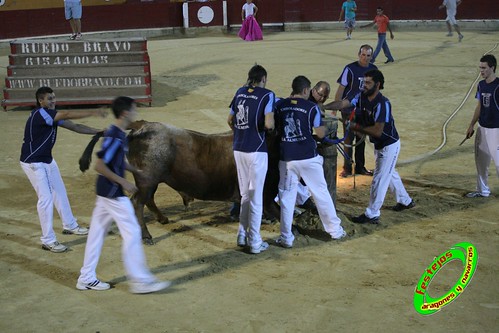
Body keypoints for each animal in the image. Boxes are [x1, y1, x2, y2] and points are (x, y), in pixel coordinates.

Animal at [80, 120, 280, 244]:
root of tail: (140, 129)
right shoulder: (265, 194)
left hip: (151, 181)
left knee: (147, 200)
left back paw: (162, 219)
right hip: (147, 180)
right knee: (138, 202)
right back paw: (146, 235)